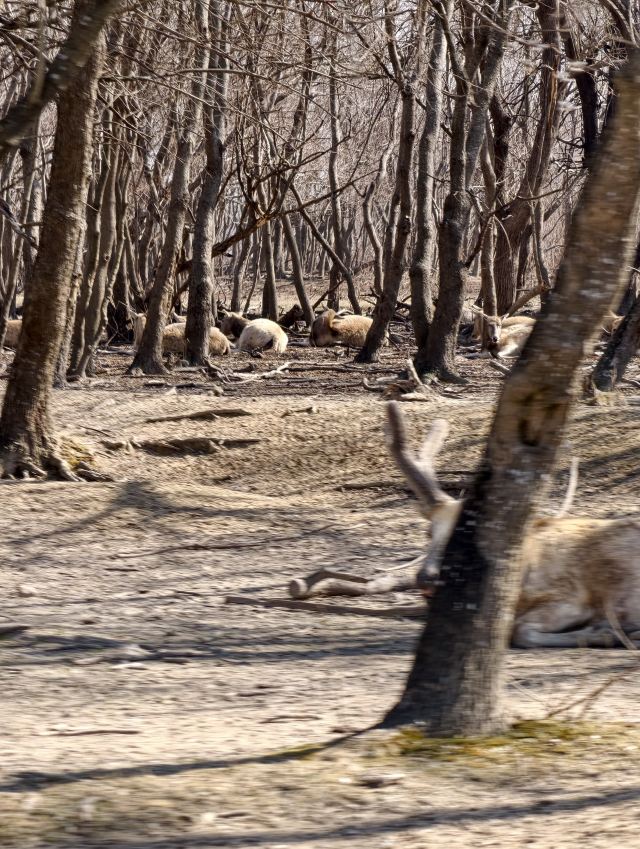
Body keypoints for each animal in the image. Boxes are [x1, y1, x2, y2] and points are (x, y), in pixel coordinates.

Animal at [385, 401, 640, 648]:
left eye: (469, 532)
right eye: (429, 532)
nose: (426, 578)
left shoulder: (572, 599)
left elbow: (519, 630)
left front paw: (603, 634)